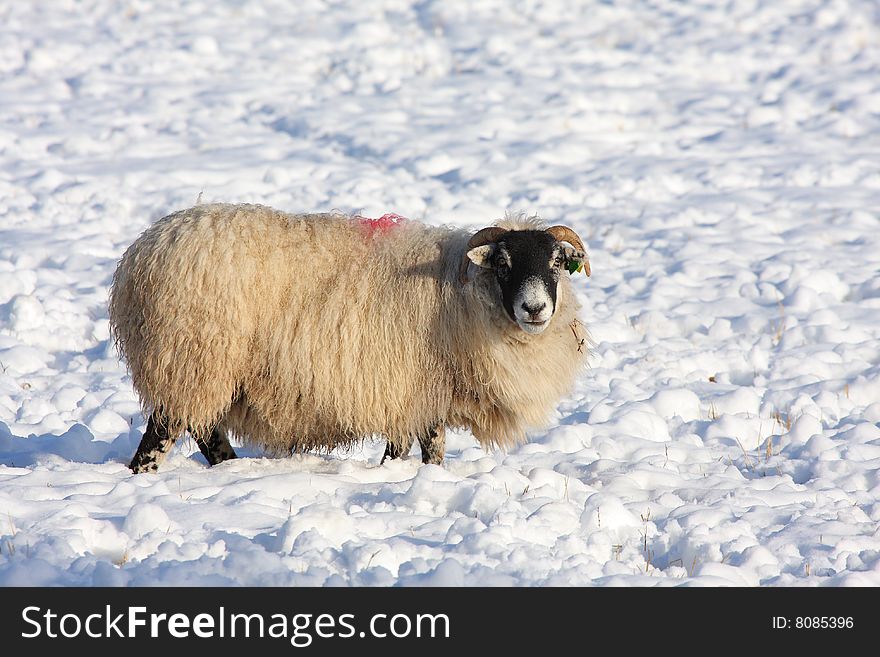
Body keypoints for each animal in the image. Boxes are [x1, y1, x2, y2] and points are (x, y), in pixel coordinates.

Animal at [110, 201, 592, 472]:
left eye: (555, 263)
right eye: (504, 264)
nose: (535, 309)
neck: (462, 292)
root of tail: (143, 251)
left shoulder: (421, 392)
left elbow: (426, 449)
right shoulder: (412, 388)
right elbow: (414, 449)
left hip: (206, 370)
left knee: (205, 430)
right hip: (191, 358)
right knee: (161, 436)